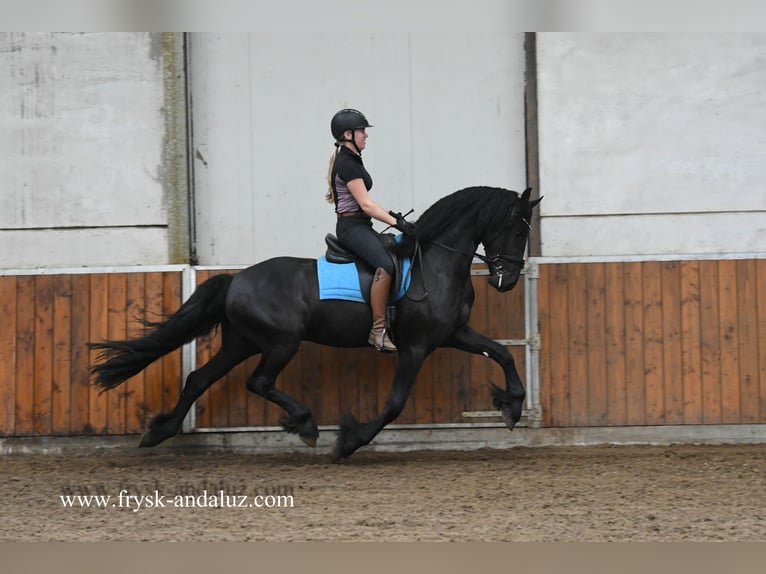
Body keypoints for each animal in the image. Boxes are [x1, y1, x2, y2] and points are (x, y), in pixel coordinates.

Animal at [90, 187, 544, 462]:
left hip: (242, 342)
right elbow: (396, 403)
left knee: (199, 379)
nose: (508, 280)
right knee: (258, 382)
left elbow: (501, 353)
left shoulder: (451, 334)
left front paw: (512, 405)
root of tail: (236, 279)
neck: (434, 264)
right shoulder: (416, 347)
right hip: (281, 342)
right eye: (515, 228)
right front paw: (349, 442)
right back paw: (305, 423)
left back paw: (159, 431)